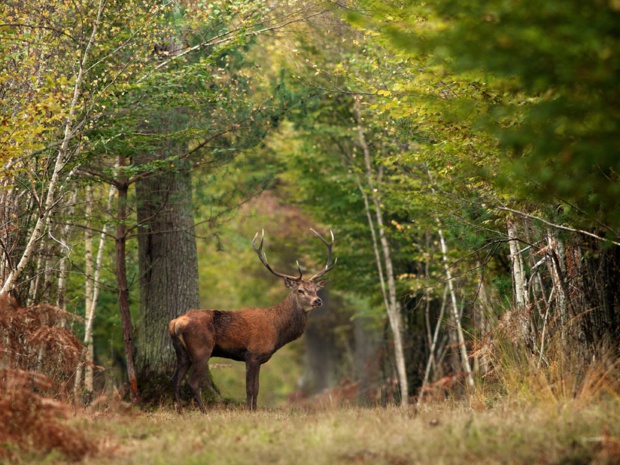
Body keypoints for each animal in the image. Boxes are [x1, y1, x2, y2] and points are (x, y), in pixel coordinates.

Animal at [167, 227, 336, 410]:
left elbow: (257, 388)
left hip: (182, 353)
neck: (277, 330)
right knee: (192, 382)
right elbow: (249, 388)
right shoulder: (252, 354)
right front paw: (249, 410)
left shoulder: (260, 359)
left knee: (175, 379)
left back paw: (180, 411)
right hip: (201, 349)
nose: (318, 301)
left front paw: (254, 410)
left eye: (316, 289)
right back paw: (204, 411)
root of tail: (175, 322)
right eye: (300, 290)